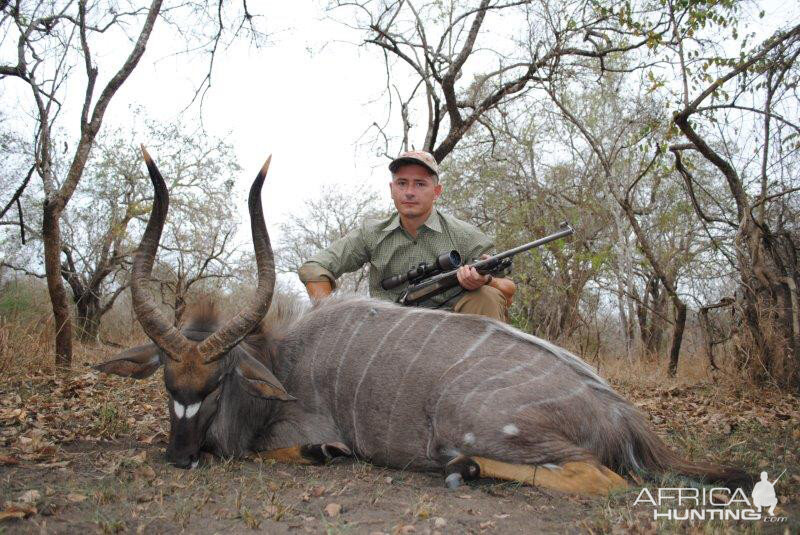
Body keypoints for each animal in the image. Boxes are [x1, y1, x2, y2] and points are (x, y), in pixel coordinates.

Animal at [95, 150, 752, 494]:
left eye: (216, 383)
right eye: (166, 384)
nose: (179, 456)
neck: (280, 360)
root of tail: (622, 414)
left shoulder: (292, 431)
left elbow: (285, 451)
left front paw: (324, 452)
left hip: (470, 420)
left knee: (602, 478)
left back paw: (462, 469)